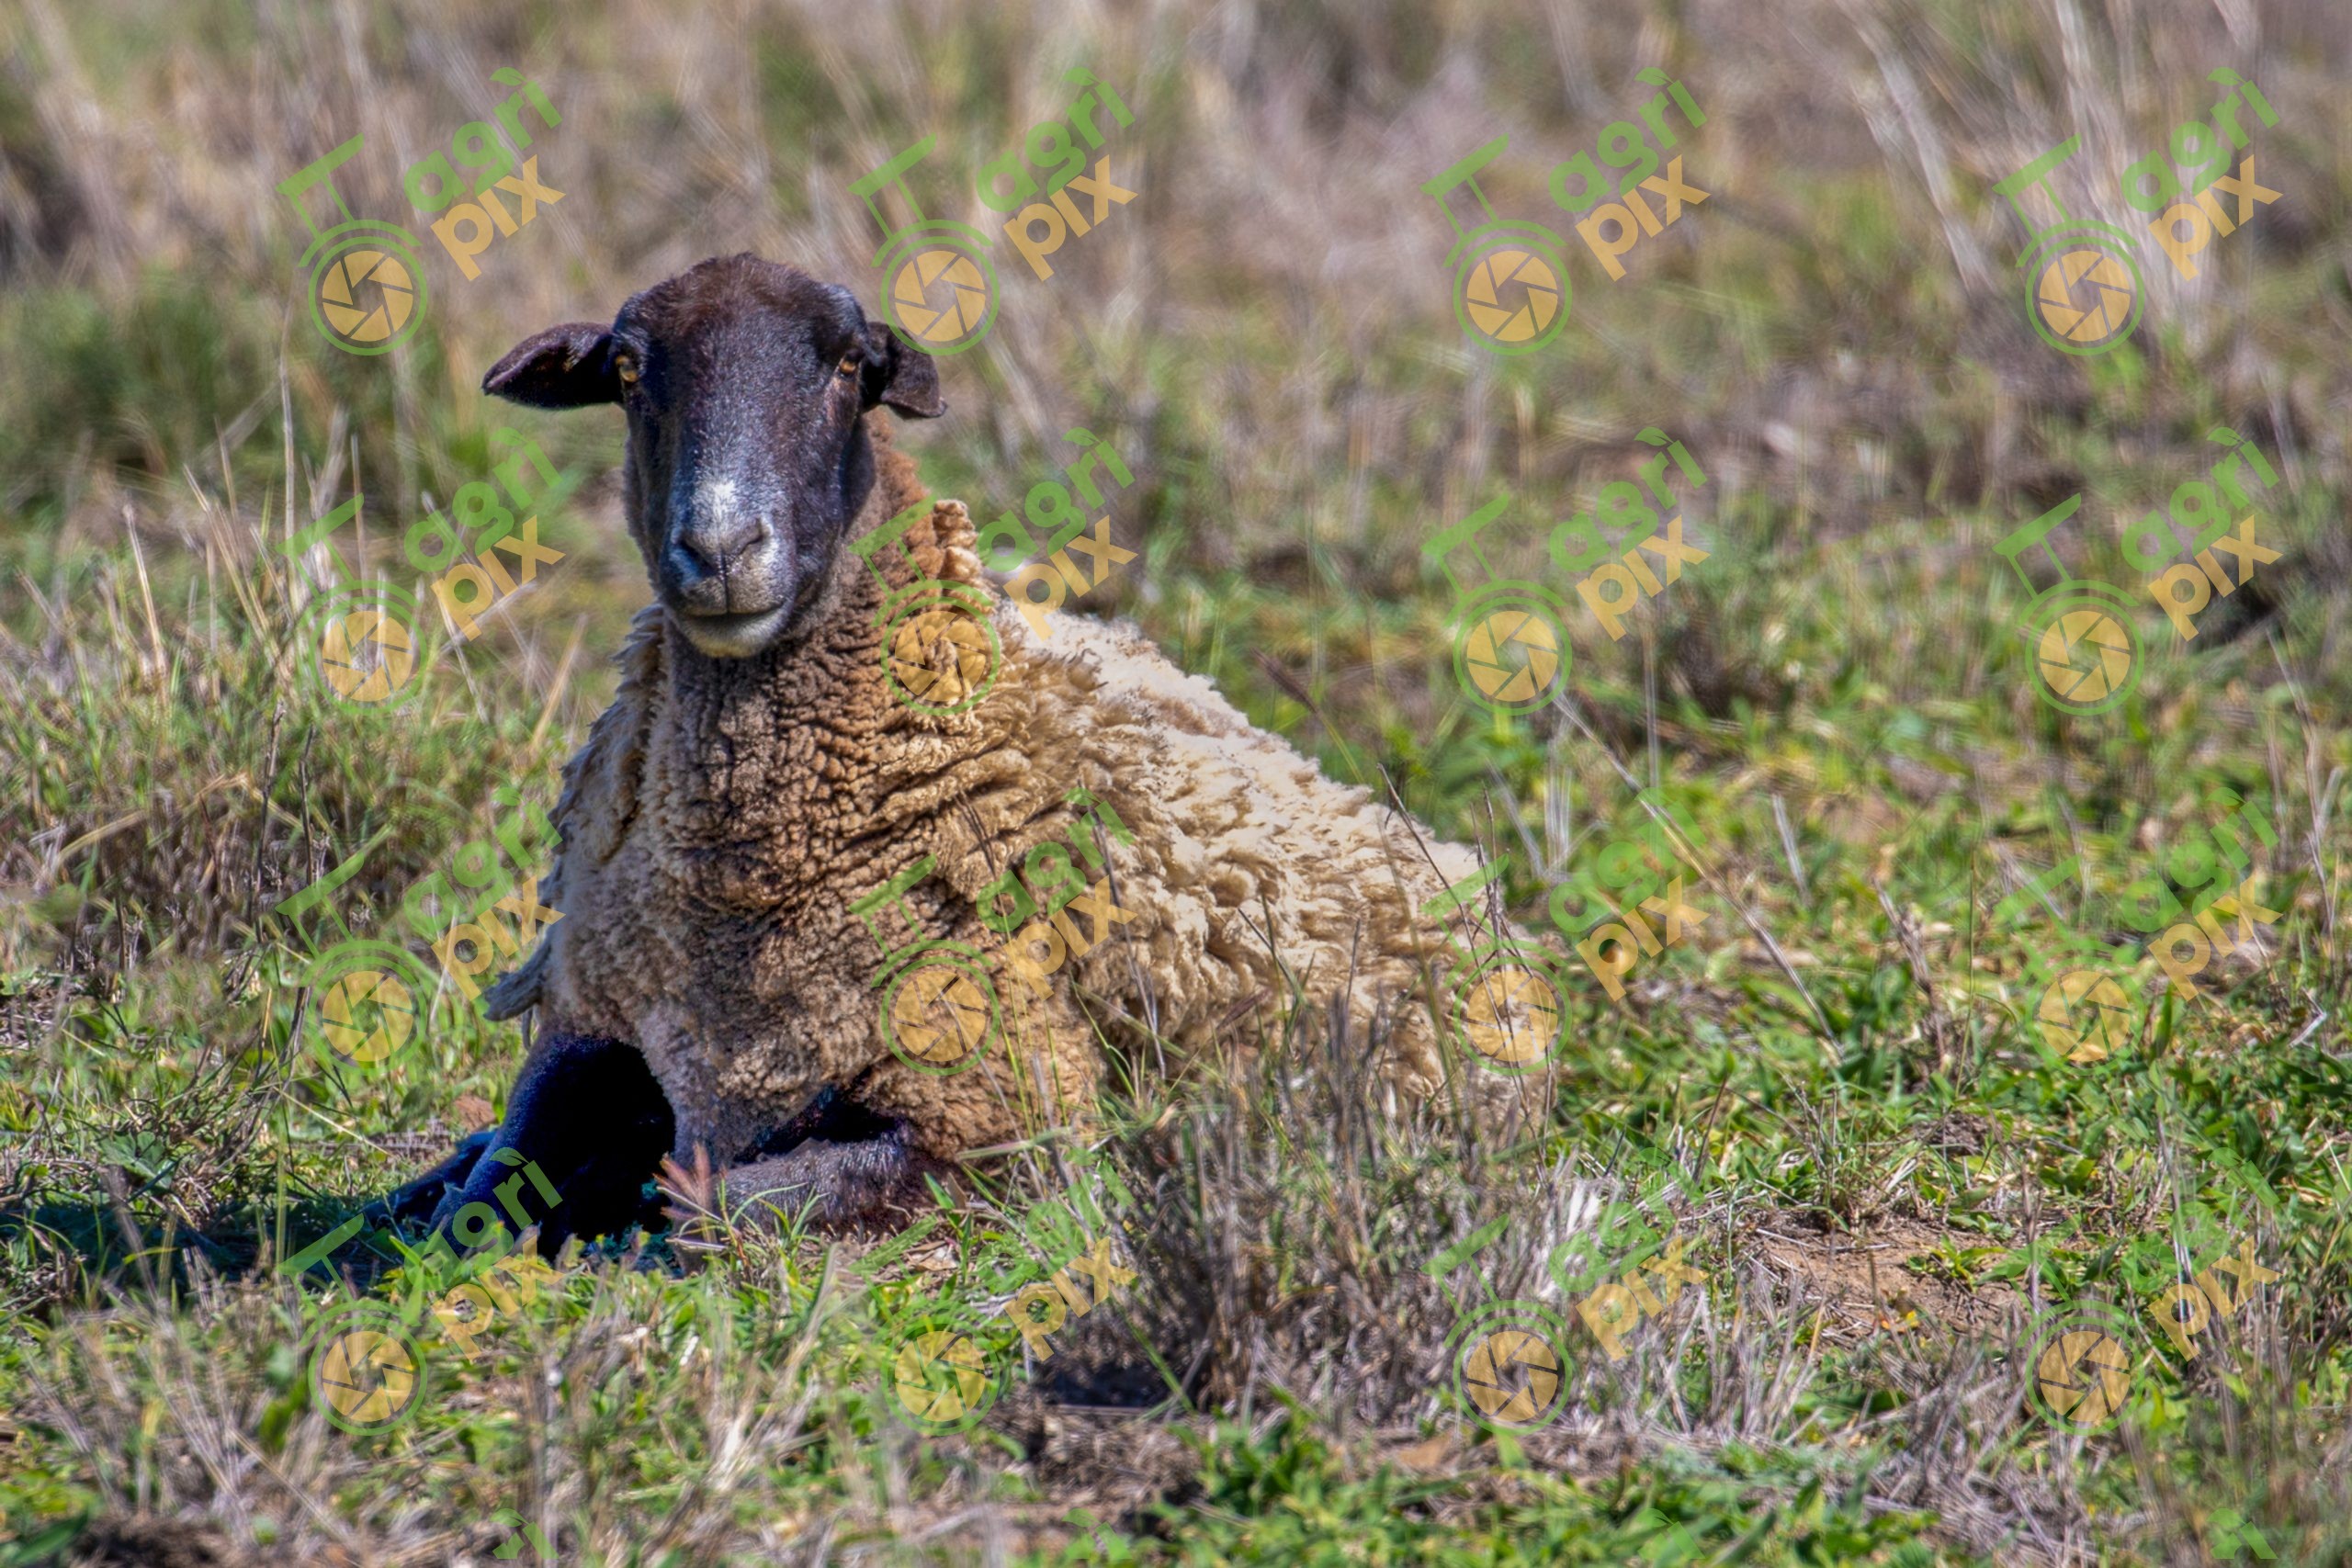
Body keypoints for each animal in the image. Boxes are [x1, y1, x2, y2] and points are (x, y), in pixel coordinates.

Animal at [385, 253, 1553, 1246]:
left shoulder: (1001, 1113)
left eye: (848, 366)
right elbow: (486, 1191)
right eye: (627, 371)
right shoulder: (590, 1018)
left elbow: (709, 1200)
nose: (719, 550)